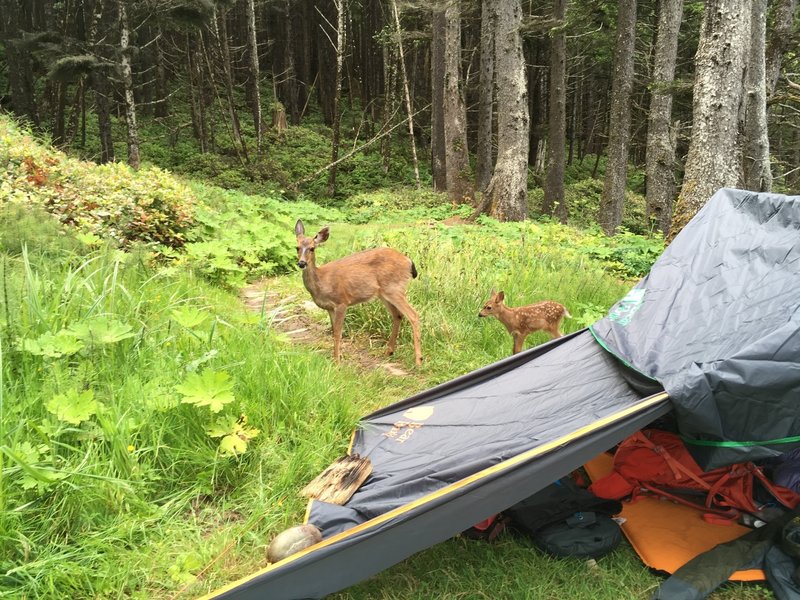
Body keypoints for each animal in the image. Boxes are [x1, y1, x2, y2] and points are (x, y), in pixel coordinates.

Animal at [296, 220, 422, 366]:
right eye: (297, 247)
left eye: (312, 248)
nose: (302, 263)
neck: (322, 281)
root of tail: (409, 261)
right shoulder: (330, 308)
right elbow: (334, 331)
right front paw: (336, 358)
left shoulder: (342, 302)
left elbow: (338, 332)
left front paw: (337, 361)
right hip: (384, 293)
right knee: (398, 315)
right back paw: (389, 352)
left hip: (394, 288)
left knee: (413, 315)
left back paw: (418, 360)